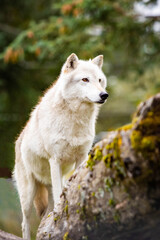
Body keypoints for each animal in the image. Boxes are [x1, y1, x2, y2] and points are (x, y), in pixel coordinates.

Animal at [13, 53, 107, 239]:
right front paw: (59, 213)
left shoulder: (81, 158)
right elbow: (58, 196)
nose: (104, 95)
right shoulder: (55, 160)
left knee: (42, 222)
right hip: (28, 194)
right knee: (25, 223)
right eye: (85, 79)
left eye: (99, 80)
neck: (75, 120)